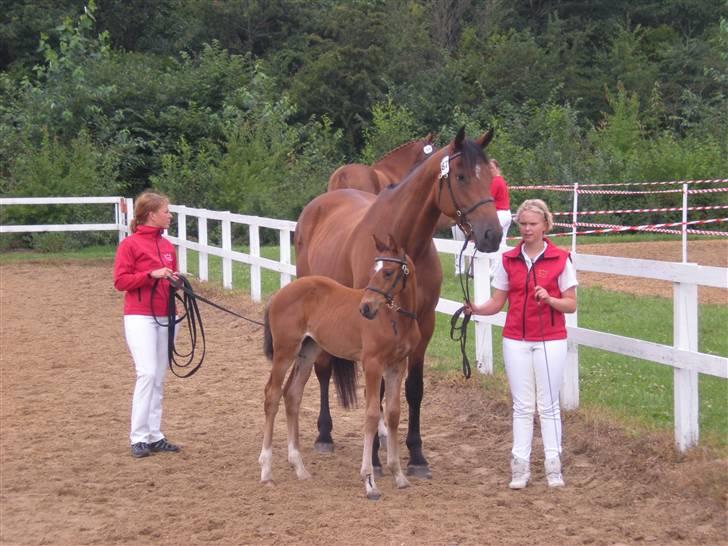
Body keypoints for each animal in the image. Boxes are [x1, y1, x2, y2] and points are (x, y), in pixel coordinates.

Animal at [258, 234, 418, 498]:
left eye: (387, 272)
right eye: (372, 271)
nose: (365, 308)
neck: (394, 319)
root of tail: (279, 293)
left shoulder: (397, 366)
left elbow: (394, 414)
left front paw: (399, 475)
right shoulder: (372, 364)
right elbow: (372, 414)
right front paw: (369, 481)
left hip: (308, 350)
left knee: (292, 394)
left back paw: (299, 467)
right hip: (285, 351)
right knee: (272, 394)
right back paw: (266, 470)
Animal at [294, 127, 500, 476]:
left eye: (488, 176)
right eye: (460, 176)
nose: (493, 235)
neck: (403, 245)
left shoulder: (424, 323)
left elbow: (413, 389)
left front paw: (416, 455)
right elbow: (375, 392)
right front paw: (376, 458)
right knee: (322, 370)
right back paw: (324, 434)